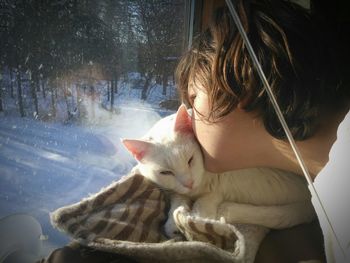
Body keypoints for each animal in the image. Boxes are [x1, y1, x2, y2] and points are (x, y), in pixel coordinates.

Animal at [122, 105, 314, 239]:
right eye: (166, 173)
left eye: (190, 160)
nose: (189, 183)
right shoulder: (177, 190)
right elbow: (178, 199)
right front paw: (174, 224)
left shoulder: (219, 184)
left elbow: (203, 204)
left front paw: (196, 222)